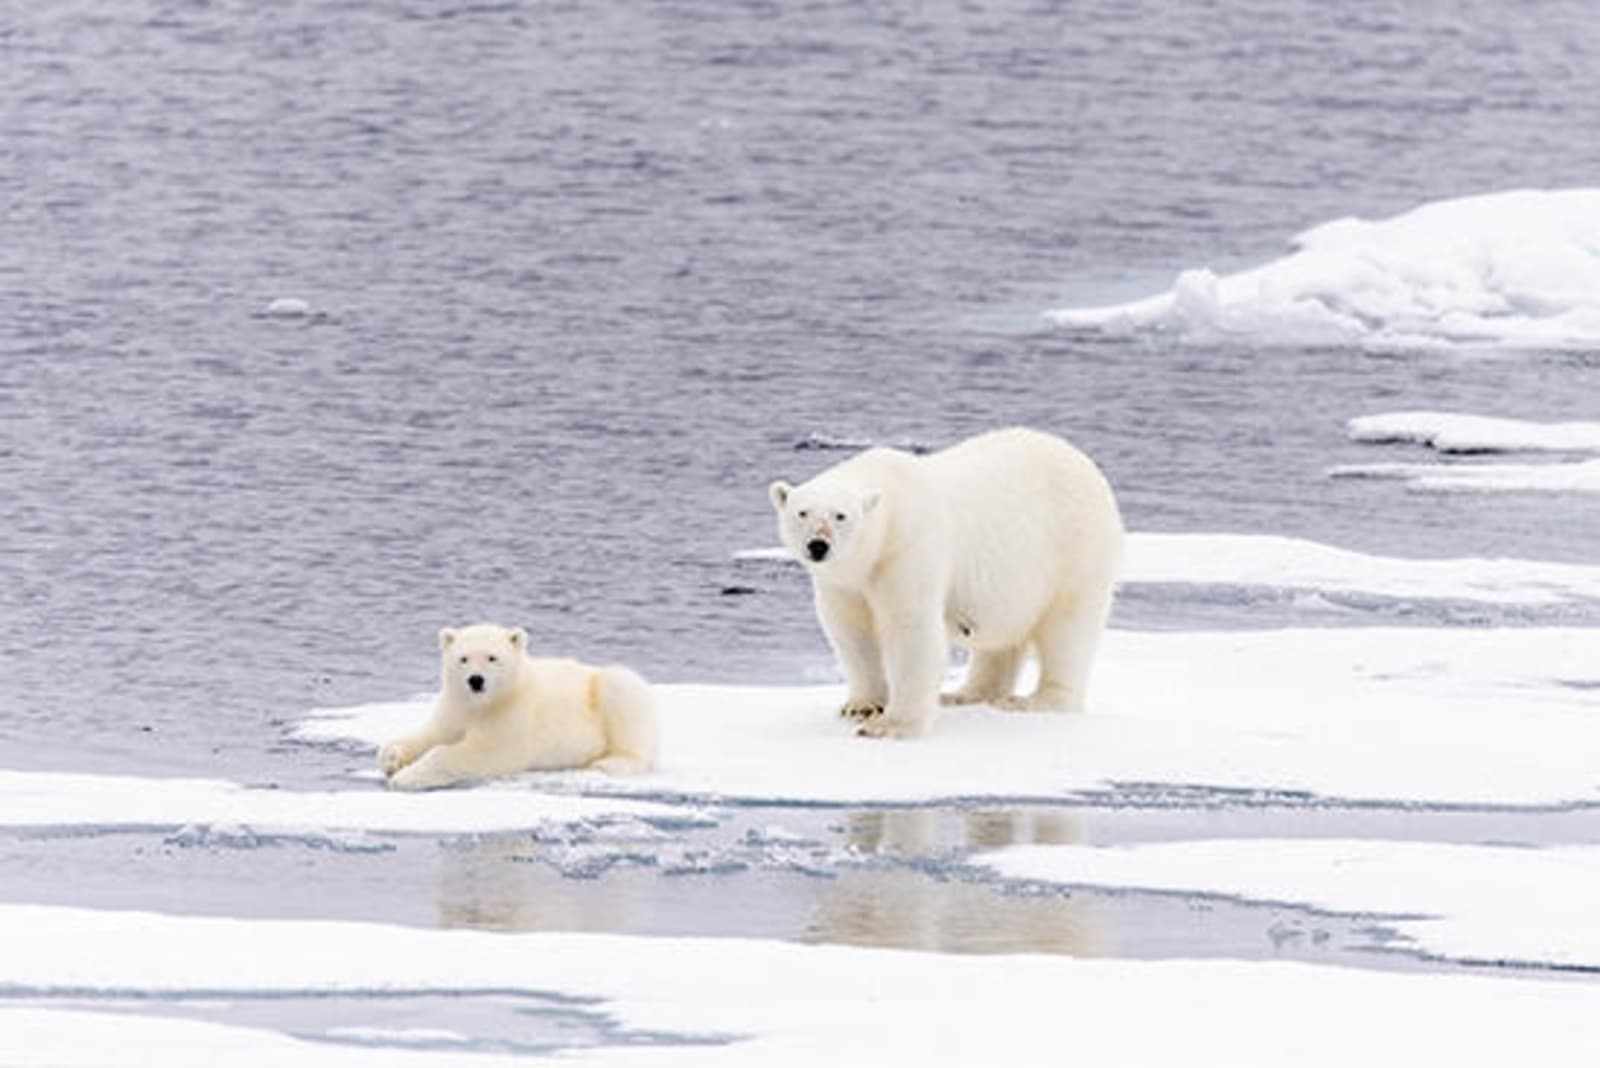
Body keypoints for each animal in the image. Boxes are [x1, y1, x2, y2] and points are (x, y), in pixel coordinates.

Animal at [378, 623, 659, 790]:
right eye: (463, 659)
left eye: (492, 658)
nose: (475, 680)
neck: (484, 703)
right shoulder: (455, 705)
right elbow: (433, 734)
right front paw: (392, 759)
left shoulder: (511, 715)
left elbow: (484, 752)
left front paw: (406, 777)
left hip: (610, 689)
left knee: (622, 693)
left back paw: (608, 763)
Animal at [769, 426, 1123, 739]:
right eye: (802, 512)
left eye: (841, 515)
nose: (818, 545)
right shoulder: (844, 582)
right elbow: (851, 631)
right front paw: (862, 706)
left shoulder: (907, 551)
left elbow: (911, 629)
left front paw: (891, 726)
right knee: (1002, 639)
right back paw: (964, 694)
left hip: (1074, 550)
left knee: (1068, 628)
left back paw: (1036, 700)